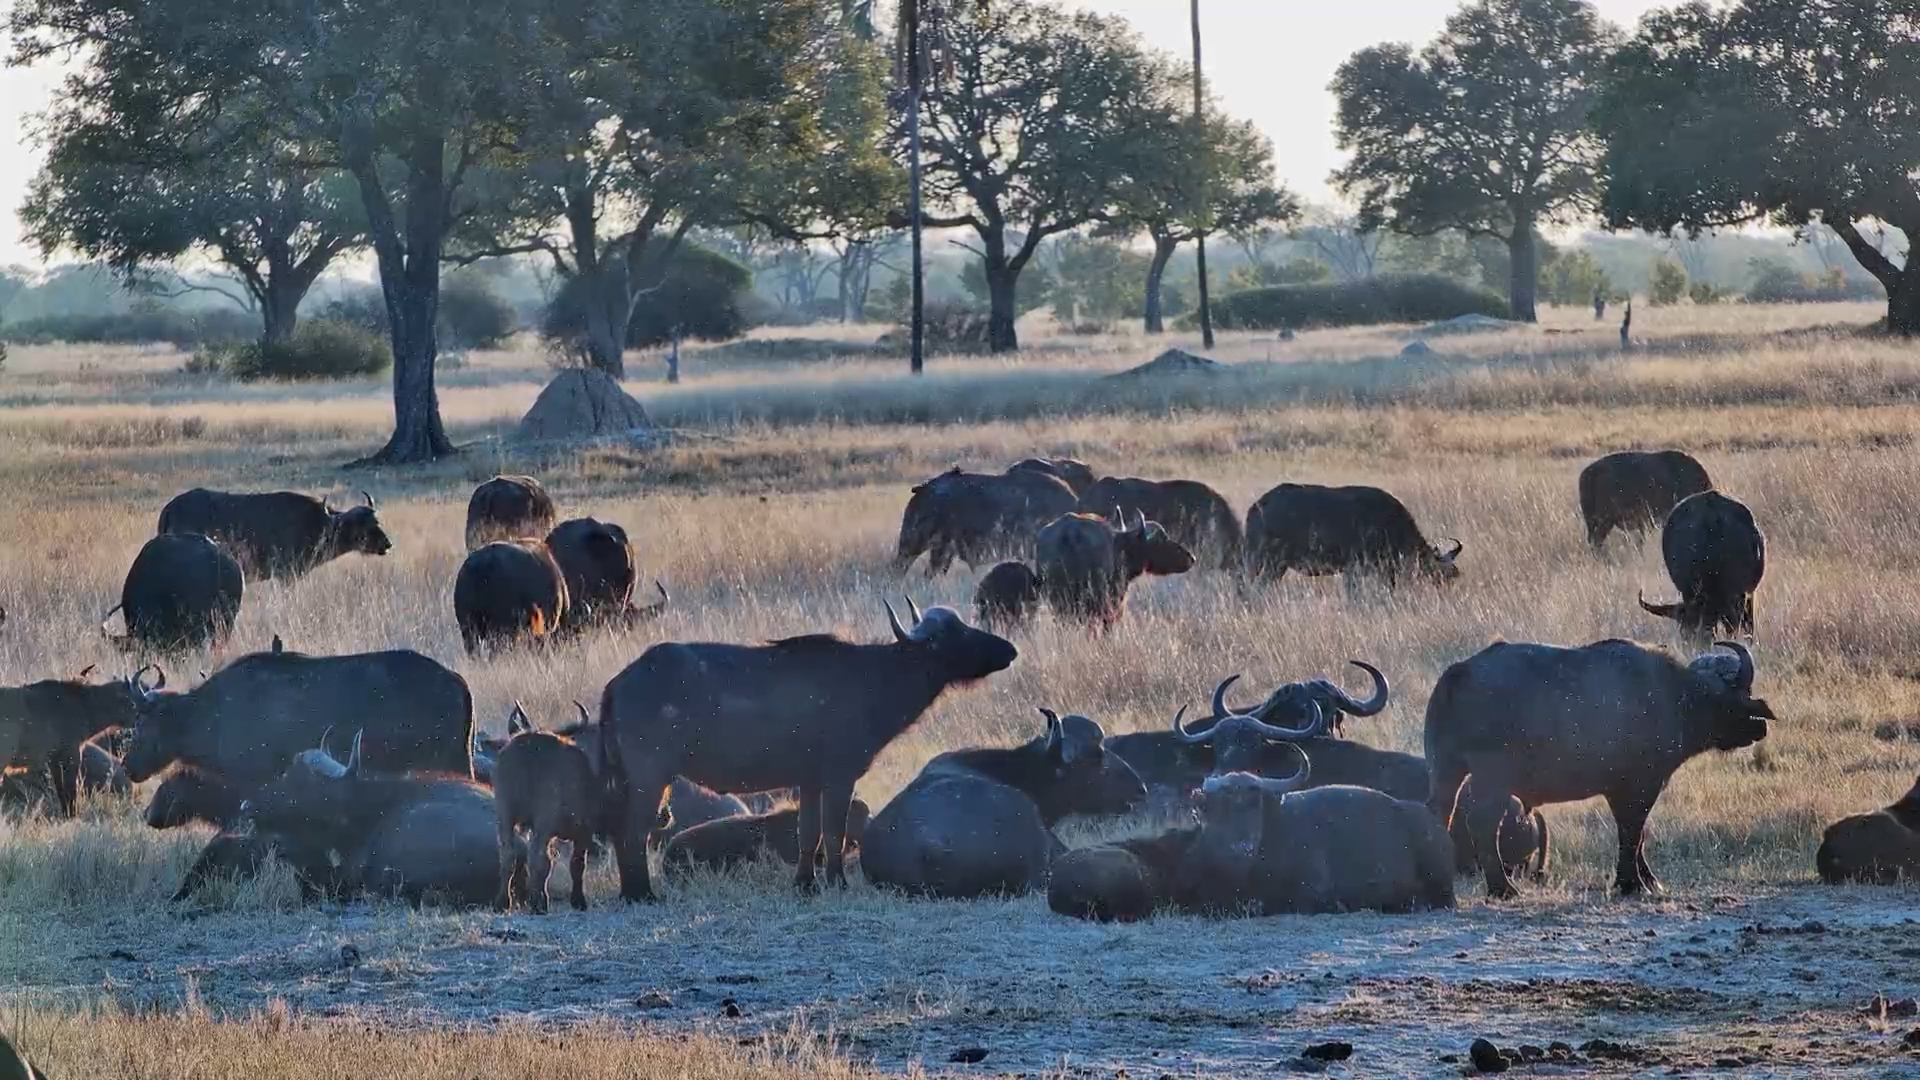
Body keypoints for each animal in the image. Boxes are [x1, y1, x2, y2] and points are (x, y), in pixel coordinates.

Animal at [157, 487, 390, 581]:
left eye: (375, 521)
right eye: (359, 525)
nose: (387, 544)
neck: (316, 523)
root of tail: (170, 507)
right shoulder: (287, 575)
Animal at [600, 598, 1017, 900]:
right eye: (956, 633)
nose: (1009, 649)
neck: (874, 678)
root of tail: (619, 682)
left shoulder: (809, 782)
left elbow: (808, 833)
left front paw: (806, 883)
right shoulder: (840, 777)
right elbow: (833, 833)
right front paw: (837, 882)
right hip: (650, 778)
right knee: (632, 833)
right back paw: (641, 895)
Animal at [1034, 510, 1194, 628]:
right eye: (1161, 540)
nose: (1192, 558)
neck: (1120, 547)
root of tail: (1069, 534)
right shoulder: (1115, 607)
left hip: (1059, 603)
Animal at [1426, 639, 1772, 898]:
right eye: (1740, 693)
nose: (1761, 727)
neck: (1673, 696)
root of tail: (1458, 673)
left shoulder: (1619, 791)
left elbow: (1634, 834)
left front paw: (1645, 879)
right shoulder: (1641, 785)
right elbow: (1633, 831)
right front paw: (1631, 884)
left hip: (1446, 772)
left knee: (1439, 814)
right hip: (1493, 779)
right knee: (1482, 824)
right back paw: (1503, 888)